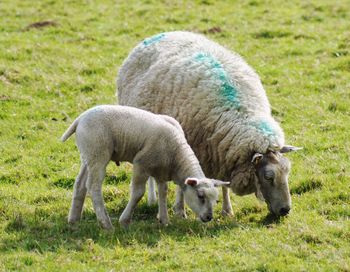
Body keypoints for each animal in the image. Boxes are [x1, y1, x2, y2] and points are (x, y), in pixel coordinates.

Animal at [61, 105, 228, 228]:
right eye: (200, 196)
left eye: (216, 199)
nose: (209, 217)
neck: (176, 154)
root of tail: (80, 119)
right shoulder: (141, 164)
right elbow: (138, 193)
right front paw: (125, 220)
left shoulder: (162, 171)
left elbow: (163, 192)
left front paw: (164, 220)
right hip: (98, 153)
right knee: (93, 186)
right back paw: (106, 224)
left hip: (88, 156)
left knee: (80, 184)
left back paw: (73, 219)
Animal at [117, 30, 300, 218]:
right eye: (268, 177)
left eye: (287, 171)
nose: (285, 210)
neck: (239, 112)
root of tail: (163, 33)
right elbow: (183, 183)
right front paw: (180, 210)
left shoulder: (223, 154)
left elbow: (224, 184)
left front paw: (227, 210)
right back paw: (152, 199)